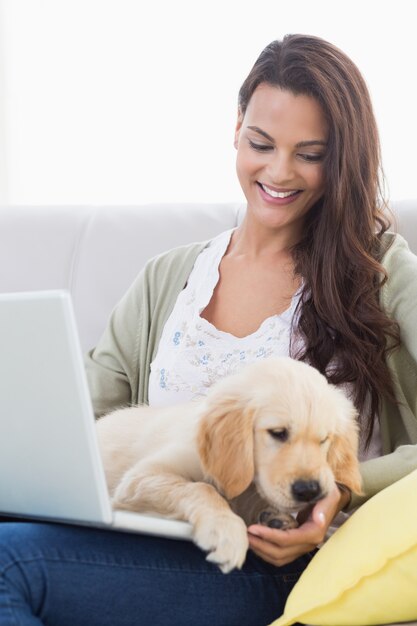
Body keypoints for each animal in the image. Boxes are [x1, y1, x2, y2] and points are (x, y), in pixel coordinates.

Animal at [96, 356, 360, 572]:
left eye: (324, 439)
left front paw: (275, 517)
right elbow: (203, 488)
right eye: (278, 433)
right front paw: (225, 530)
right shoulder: (139, 478)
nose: (309, 491)